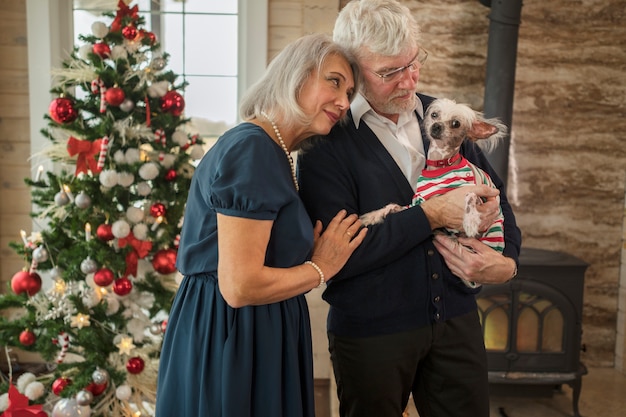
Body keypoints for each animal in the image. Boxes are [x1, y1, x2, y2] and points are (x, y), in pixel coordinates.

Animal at [360, 98, 508, 284]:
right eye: (434, 115)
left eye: (456, 123)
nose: (436, 126)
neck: (441, 163)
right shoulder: (417, 203)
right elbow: (393, 206)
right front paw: (373, 216)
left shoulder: (477, 191)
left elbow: (470, 195)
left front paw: (471, 221)